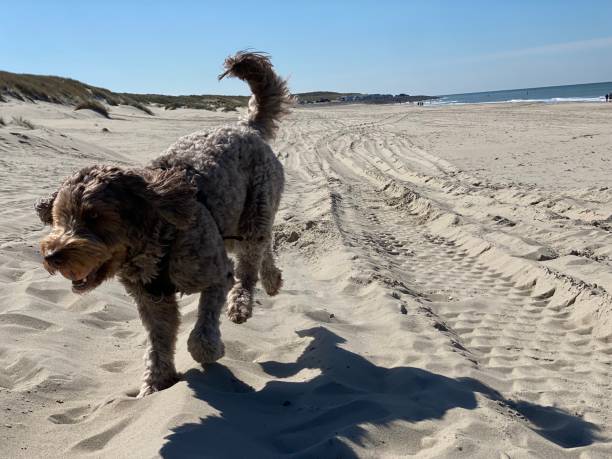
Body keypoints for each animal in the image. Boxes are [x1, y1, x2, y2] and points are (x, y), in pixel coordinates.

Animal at [36, 49, 294, 396]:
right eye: (59, 218)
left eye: (95, 217)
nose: (52, 256)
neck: (158, 236)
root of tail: (246, 127)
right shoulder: (151, 298)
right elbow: (159, 341)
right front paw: (156, 383)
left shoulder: (214, 274)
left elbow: (201, 337)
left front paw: (212, 350)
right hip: (236, 226)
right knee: (262, 250)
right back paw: (273, 280)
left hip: (256, 208)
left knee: (249, 263)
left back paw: (242, 303)